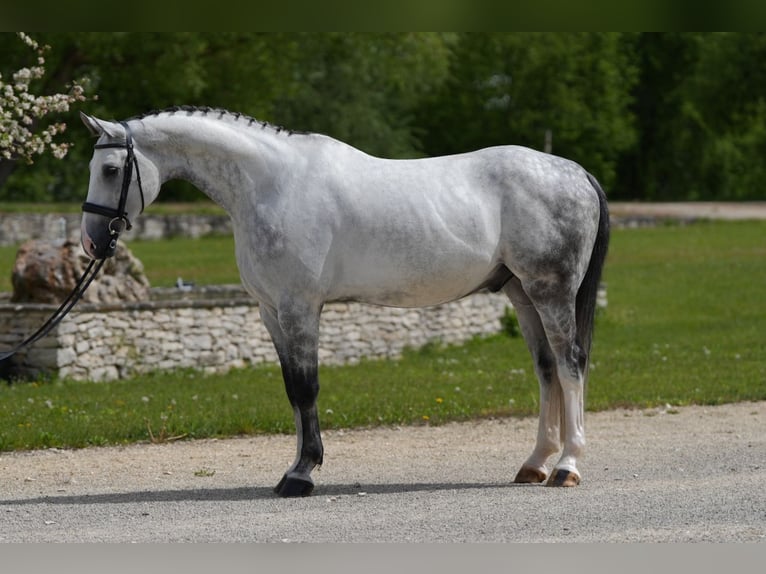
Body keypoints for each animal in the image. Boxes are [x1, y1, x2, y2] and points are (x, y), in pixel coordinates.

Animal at [79, 106, 609, 497]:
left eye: (110, 169)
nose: (91, 242)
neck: (270, 184)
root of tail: (574, 172)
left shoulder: (299, 307)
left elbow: (307, 388)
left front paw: (301, 475)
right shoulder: (271, 312)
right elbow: (292, 390)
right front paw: (296, 467)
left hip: (550, 291)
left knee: (570, 366)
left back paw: (567, 466)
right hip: (523, 294)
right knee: (546, 370)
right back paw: (535, 464)